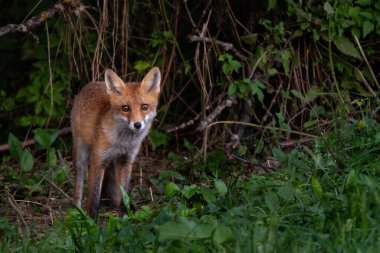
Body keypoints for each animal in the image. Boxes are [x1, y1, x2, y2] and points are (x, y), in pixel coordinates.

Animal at [71, 66, 160, 217]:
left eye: (144, 106)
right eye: (125, 108)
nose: (137, 125)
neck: (123, 142)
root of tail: (91, 83)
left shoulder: (127, 160)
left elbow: (125, 193)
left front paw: (125, 215)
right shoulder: (98, 160)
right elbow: (94, 198)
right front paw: (91, 220)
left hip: (113, 163)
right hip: (81, 153)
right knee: (79, 182)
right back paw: (77, 209)